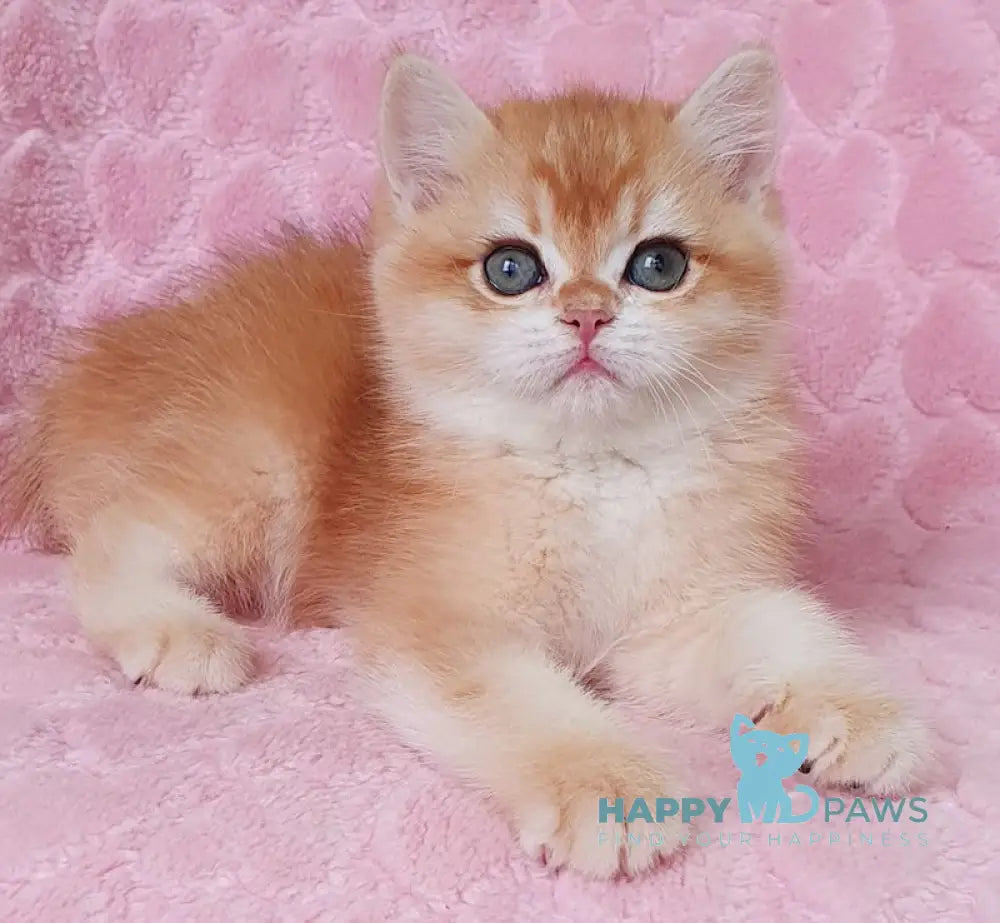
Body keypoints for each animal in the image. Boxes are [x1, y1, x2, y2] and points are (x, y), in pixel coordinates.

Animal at [0, 50, 924, 880]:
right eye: (511, 268)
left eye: (658, 264)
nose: (587, 315)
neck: (592, 471)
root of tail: (99, 362)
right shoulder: (440, 619)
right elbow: (525, 703)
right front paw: (607, 786)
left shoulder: (673, 617)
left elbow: (779, 624)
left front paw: (858, 706)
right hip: (254, 459)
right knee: (111, 534)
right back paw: (175, 630)